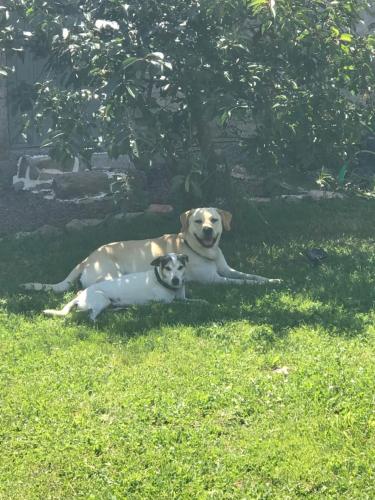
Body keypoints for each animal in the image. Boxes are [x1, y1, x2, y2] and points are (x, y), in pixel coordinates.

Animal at [22, 207, 282, 292]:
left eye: (214, 220)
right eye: (198, 221)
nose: (208, 230)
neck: (202, 250)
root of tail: (86, 259)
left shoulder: (227, 270)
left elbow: (251, 275)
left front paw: (273, 280)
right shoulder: (214, 280)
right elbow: (244, 282)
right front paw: (263, 286)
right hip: (112, 275)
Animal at [43, 254, 189, 320]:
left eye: (180, 267)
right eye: (167, 268)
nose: (176, 280)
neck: (160, 280)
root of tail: (80, 296)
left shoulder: (183, 298)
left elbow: (193, 301)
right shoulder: (166, 303)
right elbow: (183, 304)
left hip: (107, 303)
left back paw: (121, 309)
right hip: (102, 300)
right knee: (90, 316)